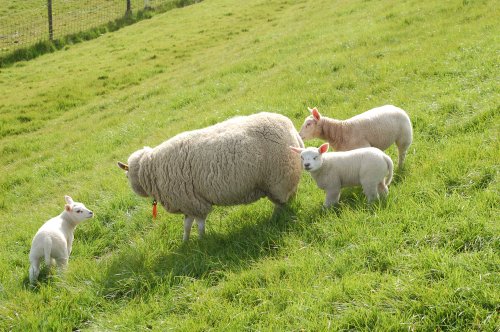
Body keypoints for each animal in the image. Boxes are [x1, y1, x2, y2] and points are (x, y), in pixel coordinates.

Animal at [118, 111, 304, 241]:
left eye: (126, 176)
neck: (151, 169)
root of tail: (291, 129)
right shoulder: (188, 203)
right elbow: (187, 225)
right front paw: (185, 242)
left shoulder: (193, 202)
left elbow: (199, 224)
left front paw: (202, 241)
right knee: (290, 197)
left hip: (279, 179)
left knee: (282, 203)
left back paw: (275, 219)